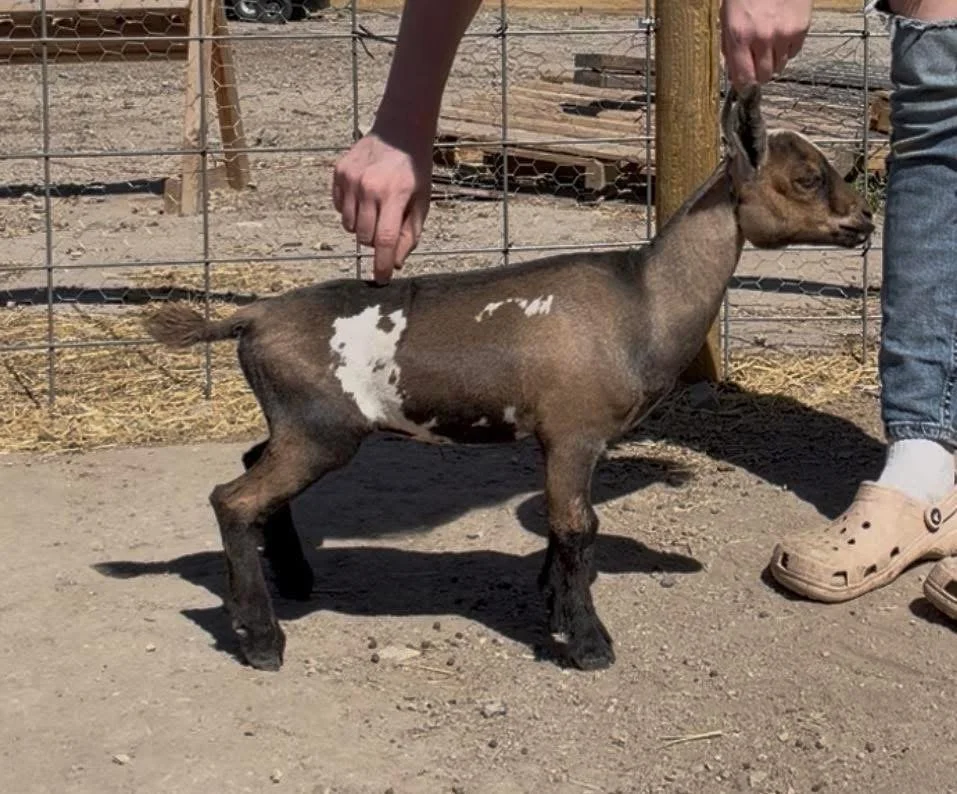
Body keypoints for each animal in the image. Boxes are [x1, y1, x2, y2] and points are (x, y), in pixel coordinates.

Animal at [144, 86, 874, 673]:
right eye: (807, 177)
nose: (863, 220)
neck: (642, 299)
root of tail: (253, 315)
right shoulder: (575, 431)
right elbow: (577, 526)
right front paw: (587, 644)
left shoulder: (562, 441)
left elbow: (564, 528)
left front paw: (554, 608)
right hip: (319, 430)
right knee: (233, 499)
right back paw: (262, 639)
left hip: (298, 424)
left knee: (251, 467)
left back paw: (294, 579)